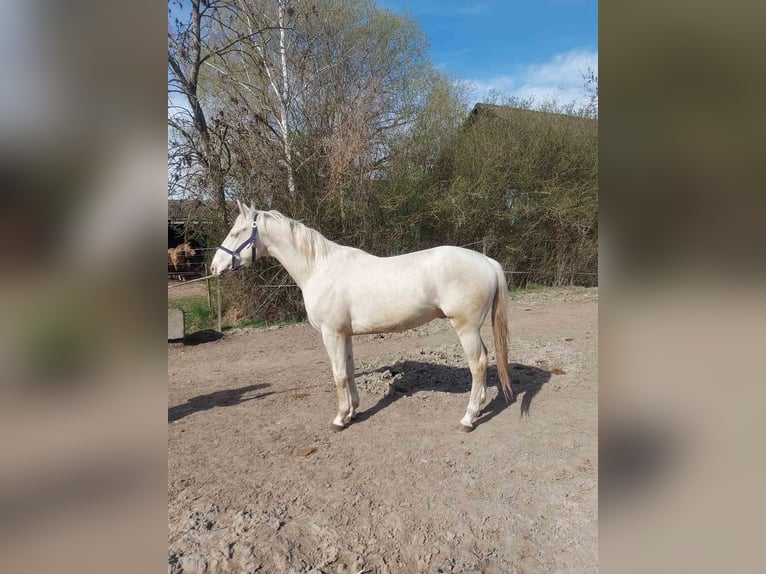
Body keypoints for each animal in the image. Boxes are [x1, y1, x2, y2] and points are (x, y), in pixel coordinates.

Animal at [210, 201, 514, 432]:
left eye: (236, 232)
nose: (214, 267)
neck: (319, 269)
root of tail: (487, 261)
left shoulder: (331, 333)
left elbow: (338, 375)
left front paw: (339, 419)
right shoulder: (344, 334)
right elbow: (349, 370)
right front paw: (353, 411)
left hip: (466, 328)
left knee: (478, 364)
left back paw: (468, 418)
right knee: (485, 361)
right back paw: (479, 407)